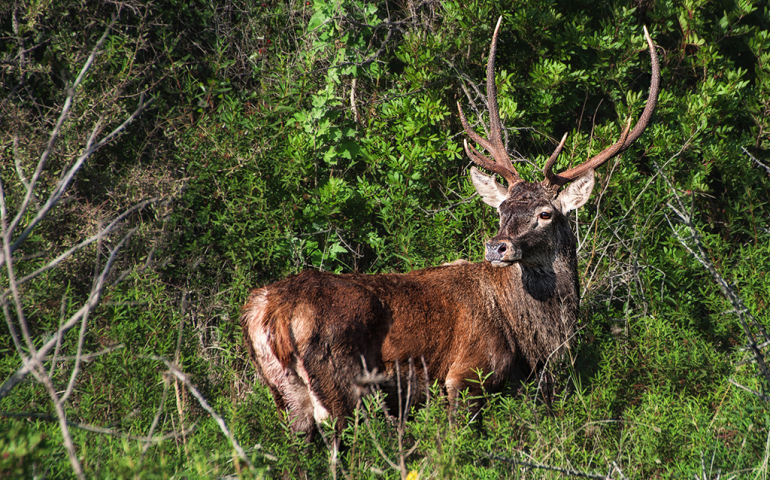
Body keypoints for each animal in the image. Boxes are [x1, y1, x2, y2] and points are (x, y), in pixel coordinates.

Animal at [238, 17, 656, 436]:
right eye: (502, 208)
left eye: (545, 213)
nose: (497, 246)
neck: (533, 341)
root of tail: (266, 314)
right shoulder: (468, 372)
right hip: (342, 385)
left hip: (286, 394)